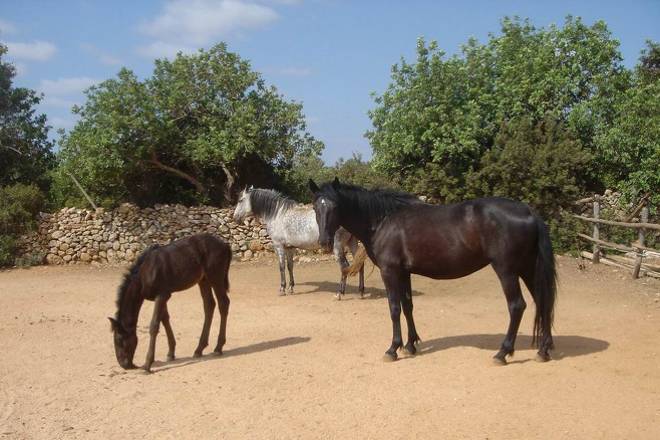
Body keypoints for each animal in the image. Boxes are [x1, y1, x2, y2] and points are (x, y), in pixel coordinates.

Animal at [109, 232, 232, 372]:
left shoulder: (162, 295)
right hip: (203, 280)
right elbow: (165, 319)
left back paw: (218, 347)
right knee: (209, 305)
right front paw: (171, 353)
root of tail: (224, 244)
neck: (145, 273)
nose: (124, 365)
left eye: (119, 339)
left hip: (215, 277)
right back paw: (199, 349)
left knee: (223, 303)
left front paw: (147, 364)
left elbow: (154, 325)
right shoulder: (162, 296)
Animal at [310, 177, 556, 362]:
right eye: (315, 207)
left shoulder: (390, 271)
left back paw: (503, 352)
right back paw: (543, 350)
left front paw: (393, 348)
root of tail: (529, 211)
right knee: (542, 301)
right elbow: (408, 306)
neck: (382, 220)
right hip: (528, 268)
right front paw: (411, 345)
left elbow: (394, 309)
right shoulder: (404, 272)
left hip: (507, 270)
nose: (324, 242)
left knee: (517, 306)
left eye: (334, 206)